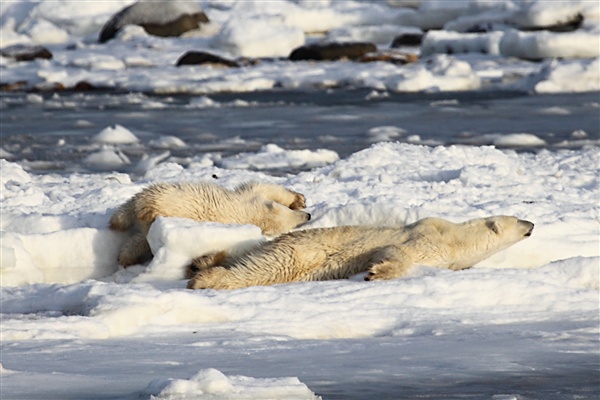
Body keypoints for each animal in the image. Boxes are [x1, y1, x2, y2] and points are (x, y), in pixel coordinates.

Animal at [109, 183, 312, 268]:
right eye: (293, 220)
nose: (308, 216)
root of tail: (146, 208)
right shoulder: (249, 197)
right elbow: (264, 186)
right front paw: (299, 199)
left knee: (139, 237)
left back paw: (124, 255)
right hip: (163, 197)